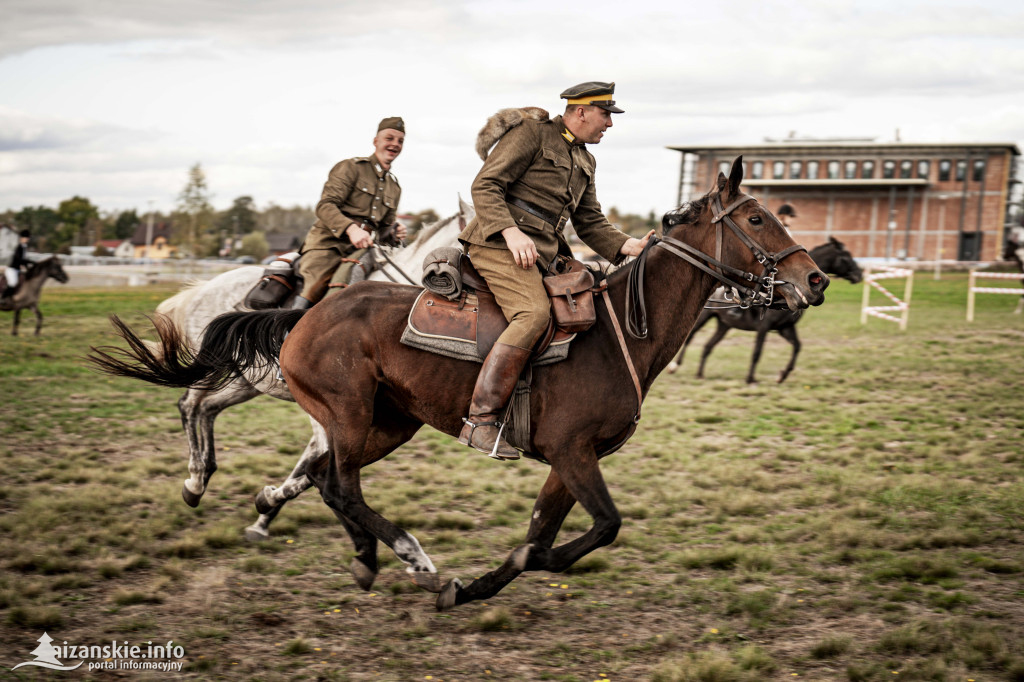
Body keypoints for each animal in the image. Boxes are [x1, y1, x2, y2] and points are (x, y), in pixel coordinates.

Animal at [152, 197, 471, 536]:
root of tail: (201, 289)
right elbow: (313, 466)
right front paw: (268, 506)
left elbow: (307, 470)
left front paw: (265, 514)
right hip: (214, 371)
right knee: (189, 405)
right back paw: (195, 481)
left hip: (246, 382)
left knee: (208, 409)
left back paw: (203, 475)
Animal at [667, 236, 860, 382]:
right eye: (846, 256)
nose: (859, 275)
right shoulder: (763, 327)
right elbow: (757, 352)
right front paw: (750, 378)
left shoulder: (785, 328)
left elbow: (797, 347)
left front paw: (782, 375)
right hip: (704, 317)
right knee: (691, 337)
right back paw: (674, 366)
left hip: (724, 324)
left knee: (708, 346)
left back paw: (700, 374)